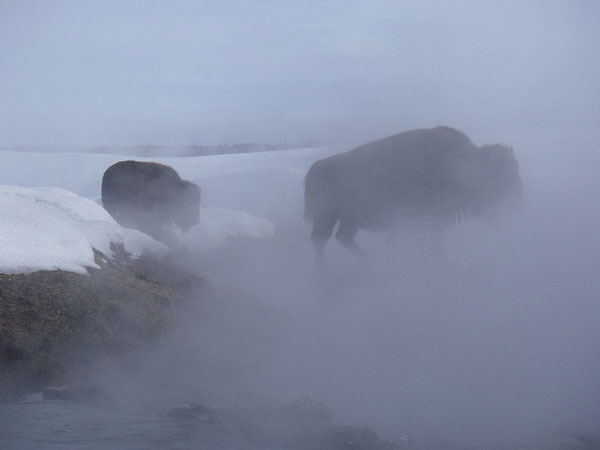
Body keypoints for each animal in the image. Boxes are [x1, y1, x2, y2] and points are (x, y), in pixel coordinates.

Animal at [302, 126, 524, 260]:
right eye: (502, 174)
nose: (518, 200)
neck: (461, 166)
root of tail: (314, 169)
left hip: (347, 220)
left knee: (340, 237)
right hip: (327, 217)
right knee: (321, 241)